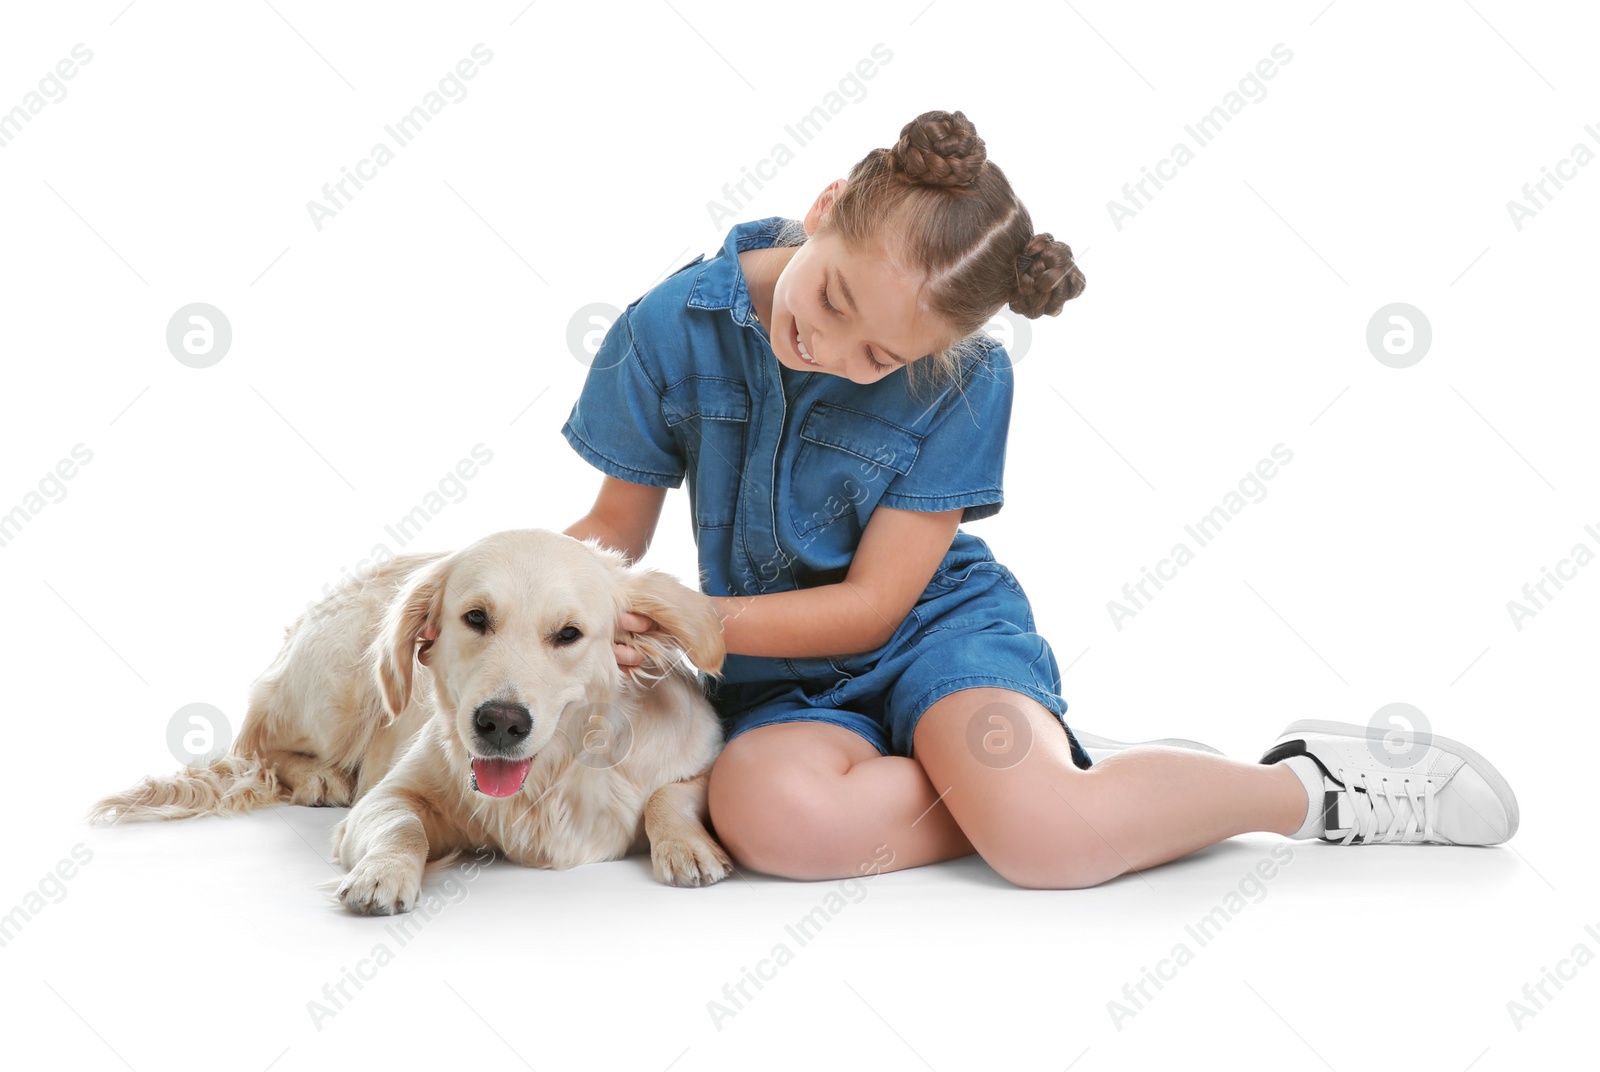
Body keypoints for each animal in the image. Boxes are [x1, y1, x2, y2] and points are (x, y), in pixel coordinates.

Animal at [93, 528, 732, 915]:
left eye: (569, 634)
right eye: (476, 618)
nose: (501, 723)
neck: (554, 775)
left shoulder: (703, 755)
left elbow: (670, 794)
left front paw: (687, 847)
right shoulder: (389, 795)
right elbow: (402, 825)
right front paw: (382, 875)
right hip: (339, 687)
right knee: (258, 744)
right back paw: (318, 776)